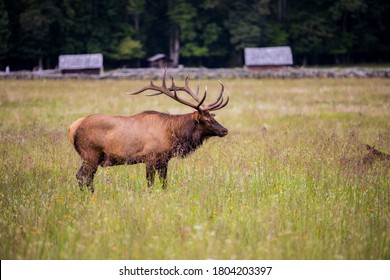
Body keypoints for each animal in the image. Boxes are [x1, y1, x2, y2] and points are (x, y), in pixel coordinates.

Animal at [69, 69, 230, 192]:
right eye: (206, 120)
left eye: (212, 117)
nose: (224, 130)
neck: (173, 134)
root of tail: (72, 128)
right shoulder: (150, 157)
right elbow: (150, 183)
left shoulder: (164, 159)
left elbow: (164, 183)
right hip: (91, 154)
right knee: (84, 176)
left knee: (82, 176)